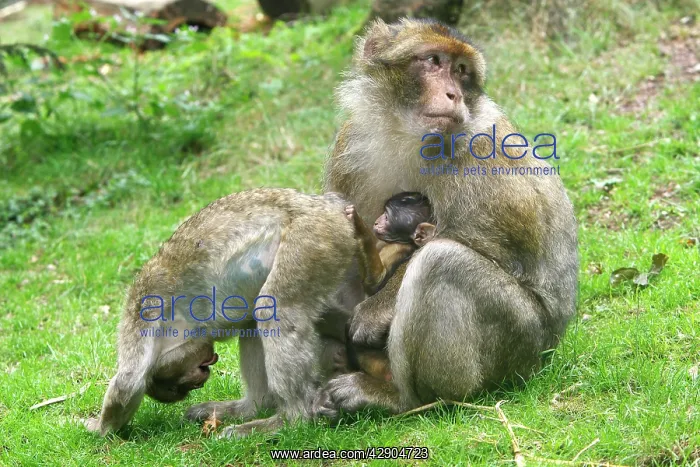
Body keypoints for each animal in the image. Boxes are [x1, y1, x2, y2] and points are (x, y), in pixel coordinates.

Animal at [84, 188, 394, 439]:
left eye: (176, 388)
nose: (200, 379)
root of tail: (326, 205)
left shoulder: (141, 310)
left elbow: (128, 381)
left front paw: (99, 428)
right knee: (258, 321)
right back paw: (251, 408)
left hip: (314, 237)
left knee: (274, 308)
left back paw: (290, 419)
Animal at [314, 18, 578, 418]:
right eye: (433, 61)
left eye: (461, 71)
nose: (454, 94)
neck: (409, 137)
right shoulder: (351, 141)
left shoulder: (483, 152)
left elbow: (487, 250)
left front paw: (375, 309)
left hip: (521, 343)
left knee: (442, 262)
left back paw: (401, 399)